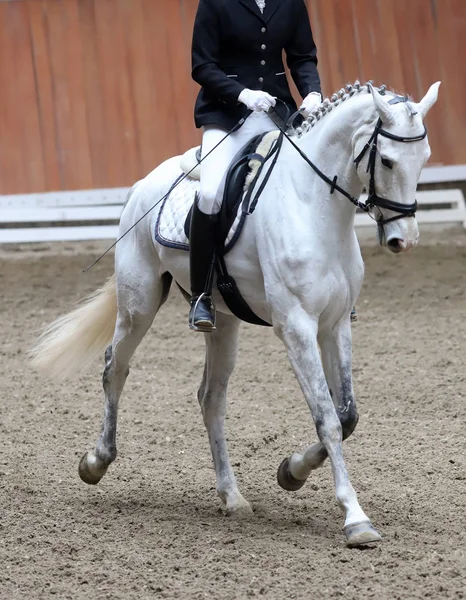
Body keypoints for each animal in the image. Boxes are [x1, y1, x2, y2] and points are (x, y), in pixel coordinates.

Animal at [32, 82, 440, 548]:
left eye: (424, 157)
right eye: (387, 160)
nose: (403, 240)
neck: (313, 207)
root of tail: (143, 183)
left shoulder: (335, 326)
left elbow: (347, 415)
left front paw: (291, 472)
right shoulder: (297, 327)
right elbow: (327, 419)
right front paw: (355, 518)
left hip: (224, 322)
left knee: (210, 398)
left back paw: (232, 496)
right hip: (139, 304)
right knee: (114, 368)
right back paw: (96, 461)